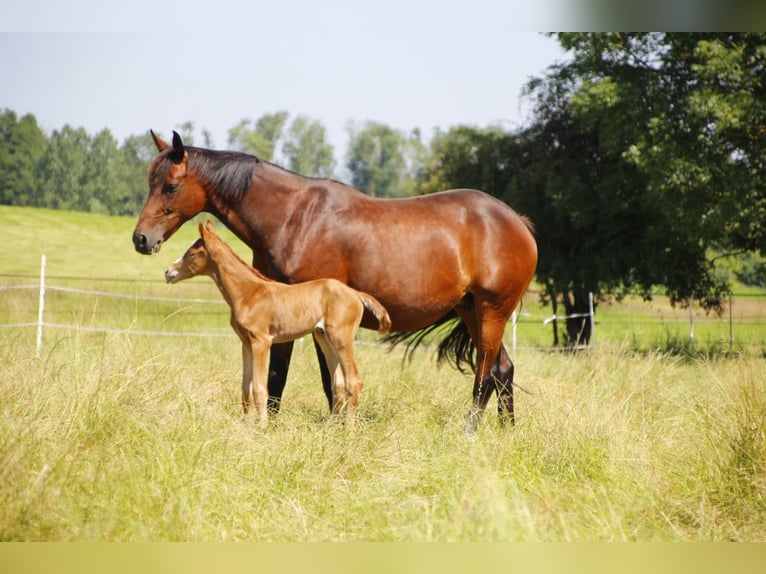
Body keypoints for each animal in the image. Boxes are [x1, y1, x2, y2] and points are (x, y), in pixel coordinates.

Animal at [164, 220, 390, 428]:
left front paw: (262, 427)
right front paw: (246, 425)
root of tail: (355, 294)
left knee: (354, 381)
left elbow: (259, 388)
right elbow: (245, 388)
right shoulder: (246, 343)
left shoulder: (261, 342)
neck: (249, 294)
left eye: (192, 253)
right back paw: (331, 428)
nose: (168, 272)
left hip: (341, 338)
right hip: (324, 338)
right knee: (339, 385)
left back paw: (349, 429)